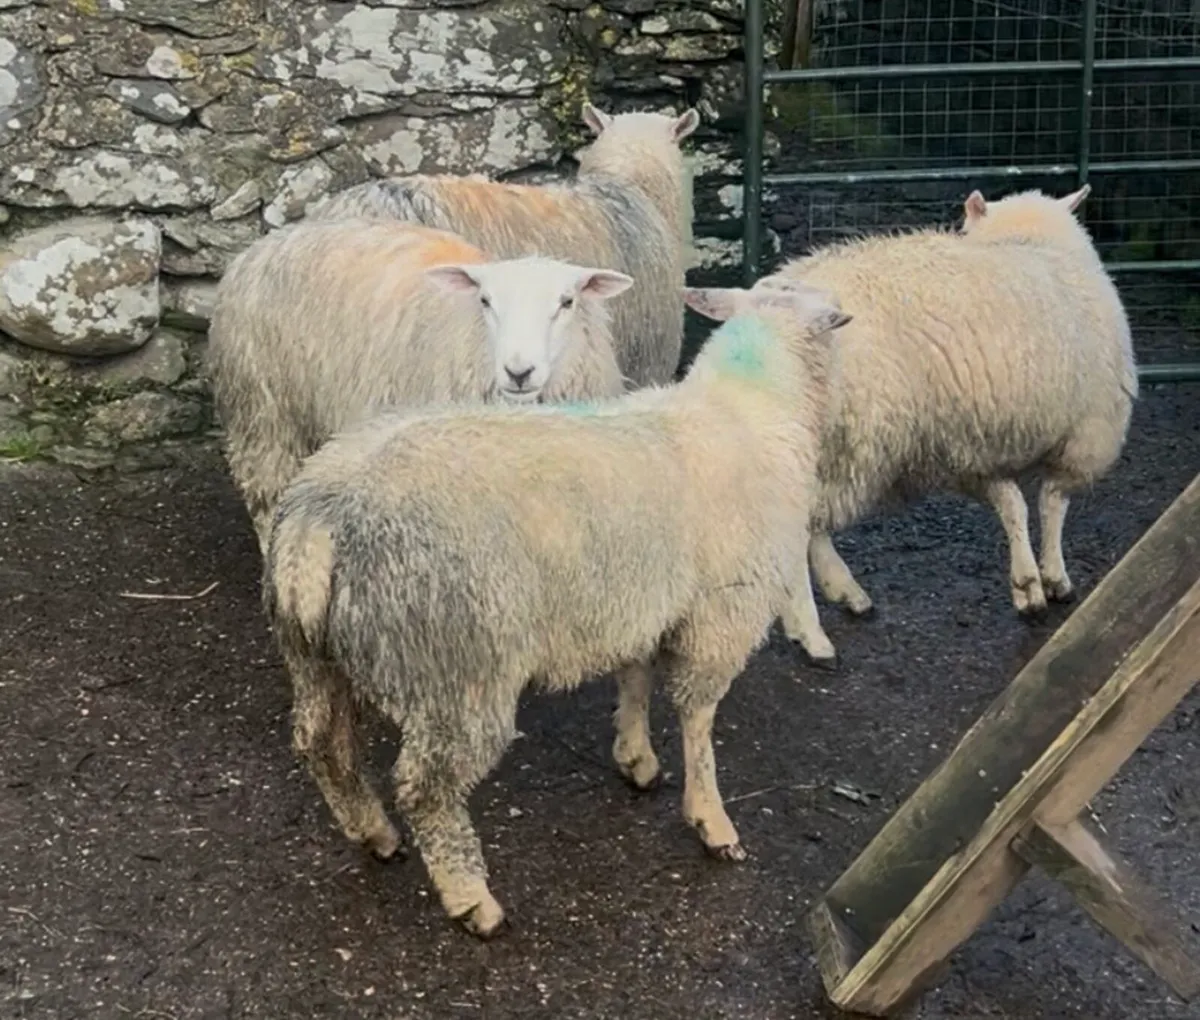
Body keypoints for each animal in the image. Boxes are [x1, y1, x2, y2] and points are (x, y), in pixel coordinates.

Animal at [207, 218, 632, 552]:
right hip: (262, 411)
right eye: (485, 301)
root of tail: (265, 243)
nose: (518, 371)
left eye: (567, 302)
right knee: (265, 492)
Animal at [261, 282, 853, 937]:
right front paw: (711, 820)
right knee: (425, 789)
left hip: (317, 656)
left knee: (321, 744)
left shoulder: (639, 601)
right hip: (456, 667)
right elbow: (697, 720)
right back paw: (471, 899)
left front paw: (636, 758)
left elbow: (635, 677)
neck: (751, 412)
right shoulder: (721, 615)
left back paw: (372, 833)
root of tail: (323, 518)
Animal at [687, 185, 1137, 660]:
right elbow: (1052, 502)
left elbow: (1013, 502)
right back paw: (814, 631)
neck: (1030, 241)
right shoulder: (1088, 431)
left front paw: (1028, 582)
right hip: (855, 440)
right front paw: (1049, 579)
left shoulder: (969, 447)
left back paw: (840, 593)